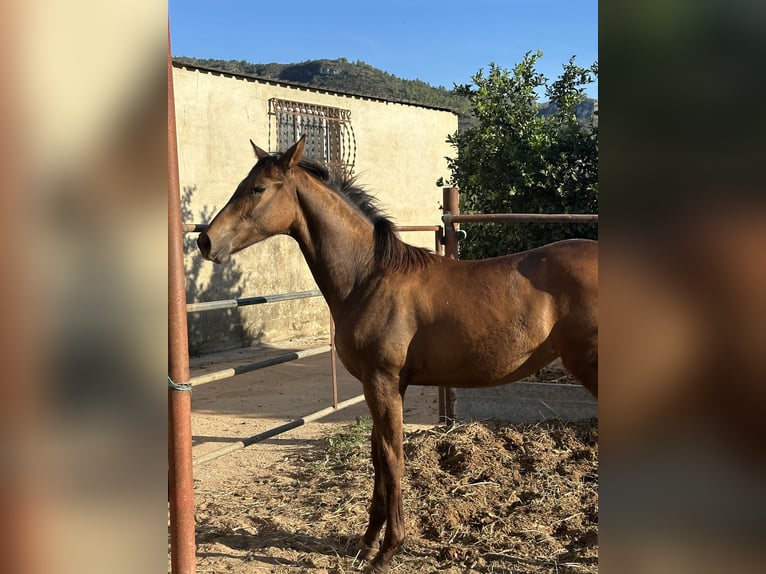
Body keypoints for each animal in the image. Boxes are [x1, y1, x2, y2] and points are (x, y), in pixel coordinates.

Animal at [198, 137, 600, 572]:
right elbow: (378, 458)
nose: (206, 241)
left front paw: (388, 550)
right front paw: (366, 542)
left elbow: (392, 461)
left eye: (258, 189)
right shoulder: (384, 386)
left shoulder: (382, 382)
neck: (369, 277)